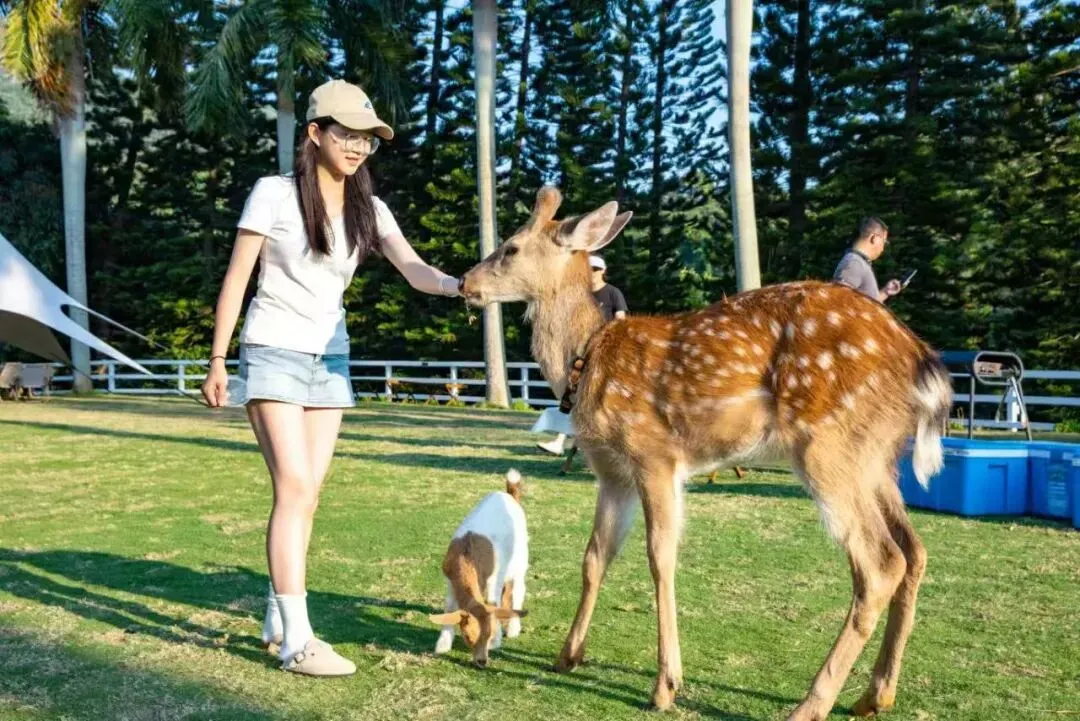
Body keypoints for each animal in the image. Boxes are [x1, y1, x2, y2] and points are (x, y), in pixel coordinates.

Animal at [459, 187, 953, 721]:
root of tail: (922, 360)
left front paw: (665, 685)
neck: (585, 361)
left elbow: (660, 556)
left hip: (828, 445)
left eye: (510, 247)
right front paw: (568, 655)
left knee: (881, 563)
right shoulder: (612, 472)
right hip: (877, 458)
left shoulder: (653, 454)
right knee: (915, 551)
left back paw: (811, 704)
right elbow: (595, 555)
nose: (465, 282)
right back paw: (875, 694)